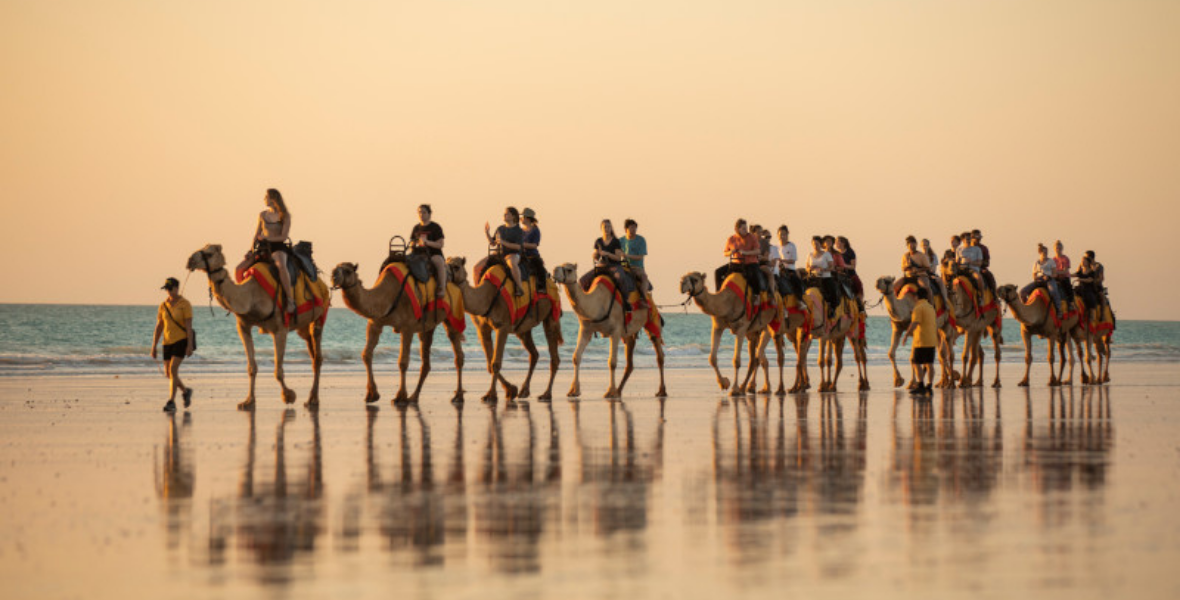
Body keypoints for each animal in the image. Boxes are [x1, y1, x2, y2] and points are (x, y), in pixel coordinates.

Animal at [186, 243, 330, 408]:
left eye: (209, 254)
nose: (190, 260)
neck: (251, 296)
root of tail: (322, 283)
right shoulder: (243, 326)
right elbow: (251, 367)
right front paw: (248, 401)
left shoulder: (280, 329)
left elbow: (278, 370)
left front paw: (288, 396)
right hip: (303, 327)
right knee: (312, 352)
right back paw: (311, 398)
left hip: (320, 314)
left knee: (317, 355)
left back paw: (313, 399)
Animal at [335, 261, 467, 406]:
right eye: (334, 268)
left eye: (348, 271)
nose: (334, 276)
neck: (387, 295)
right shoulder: (375, 323)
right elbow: (366, 355)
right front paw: (372, 394)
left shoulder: (407, 327)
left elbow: (403, 362)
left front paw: (400, 396)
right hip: (427, 326)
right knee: (426, 358)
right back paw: (414, 397)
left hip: (453, 314)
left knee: (457, 351)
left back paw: (458, 396)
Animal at [448, 256, 564, 403]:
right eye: (446, 263)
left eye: (456, 266)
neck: (487, 296)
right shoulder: (482, 328)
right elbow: (489, 363)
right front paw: (511, 390)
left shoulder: (503, 327)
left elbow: (495, 363)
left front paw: (491, 395)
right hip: (523, 329)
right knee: (534, 354)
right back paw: (524, 391)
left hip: (551, 315)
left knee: (554, 356)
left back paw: (546, 394)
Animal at [549, 262, 665, 399]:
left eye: (569, 269)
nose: (554, 271)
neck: (598, 304)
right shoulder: (585, 329)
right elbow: (576, 357)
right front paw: (574, 391)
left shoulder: (615, 331)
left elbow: (612, 362)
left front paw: (610, 391)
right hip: (628, 333)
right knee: (630, 360)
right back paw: (619, 391)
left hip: (652, 318)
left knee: (659, 353)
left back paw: (661, 391)